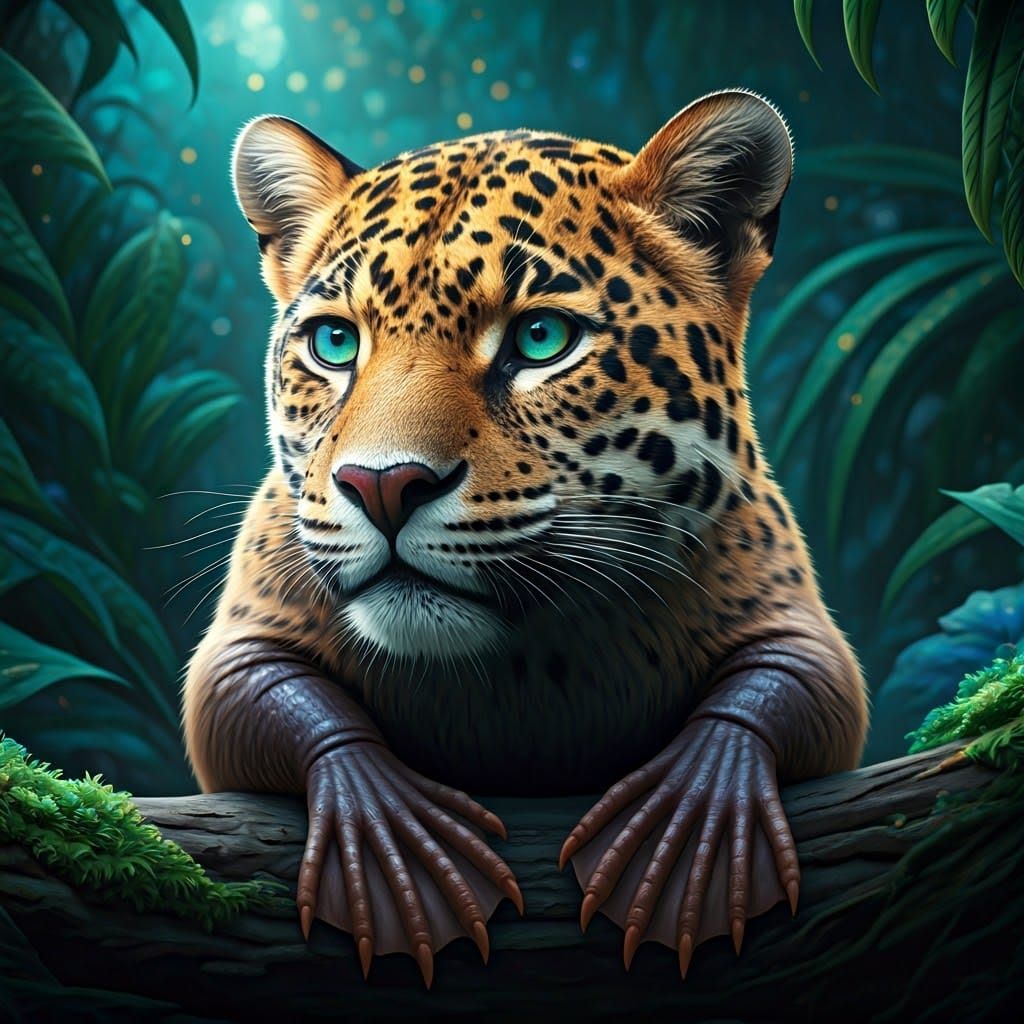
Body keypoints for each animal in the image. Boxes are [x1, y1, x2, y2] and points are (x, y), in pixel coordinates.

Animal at [183, 89, 868, 986]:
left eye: (541, 338)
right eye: (334, 342)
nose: (382, 485)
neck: (519, 664)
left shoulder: (794, 612)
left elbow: (792, 681)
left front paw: (692, 830)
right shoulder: (242, 635)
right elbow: (260, 693)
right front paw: (392, 844)